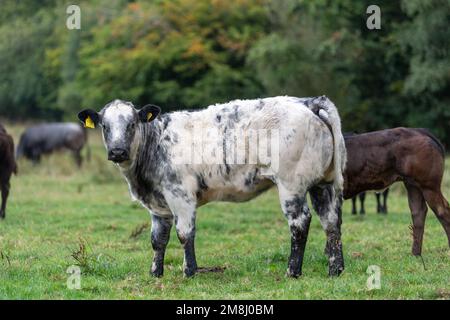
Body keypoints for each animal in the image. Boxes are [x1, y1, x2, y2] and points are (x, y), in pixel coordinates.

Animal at [77, 95, 346, 278]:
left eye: (132, 124)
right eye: (104, 126)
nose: (117, 151)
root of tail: (307, 101)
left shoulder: (181, 195)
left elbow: (185, 234)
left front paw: (189, 271)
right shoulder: (158, 205)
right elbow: (157, 240)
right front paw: (155, 273)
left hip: (291, 184)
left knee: (300, 222)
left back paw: (292, 271)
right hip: (323, 184)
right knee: (331, 222)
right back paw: (335, 269)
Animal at [342, 127, 448, 255]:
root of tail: (419, 130)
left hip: (429, 185)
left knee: (443, 211)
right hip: (412, 184)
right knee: (418, 211)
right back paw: (415, 254)